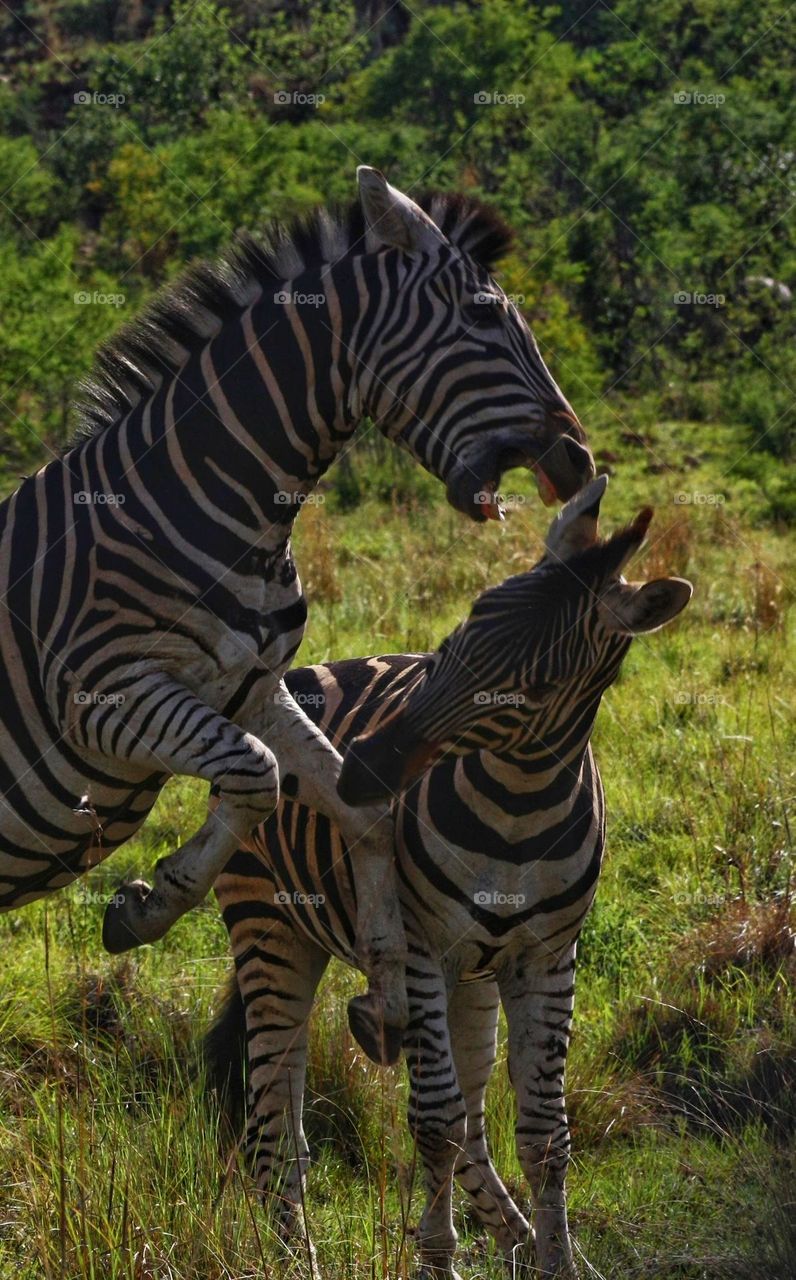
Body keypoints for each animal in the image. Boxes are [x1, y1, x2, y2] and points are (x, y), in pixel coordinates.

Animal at [0, 166, 594, 1062]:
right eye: (486, 314)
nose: (580, 457)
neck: (214, 505)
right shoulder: (100, 695)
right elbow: (253, 773)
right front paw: (150, 904)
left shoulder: (255, 689)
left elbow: (364, 807)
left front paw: (388, 993)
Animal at [207, 474, 692, 1278]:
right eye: (464, 625)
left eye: (538, 684)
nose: (365, 769)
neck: (520, 804)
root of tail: (301, 670)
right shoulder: (420, 951)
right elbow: (432, 1123)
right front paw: (438, 1259)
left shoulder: (547, 958)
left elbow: (542, 1134)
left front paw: (557, 1260)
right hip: (270, 928)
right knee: (277, 1121)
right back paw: (295, 1255)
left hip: (475, 975)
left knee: (470, 1120)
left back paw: (519, 1238)